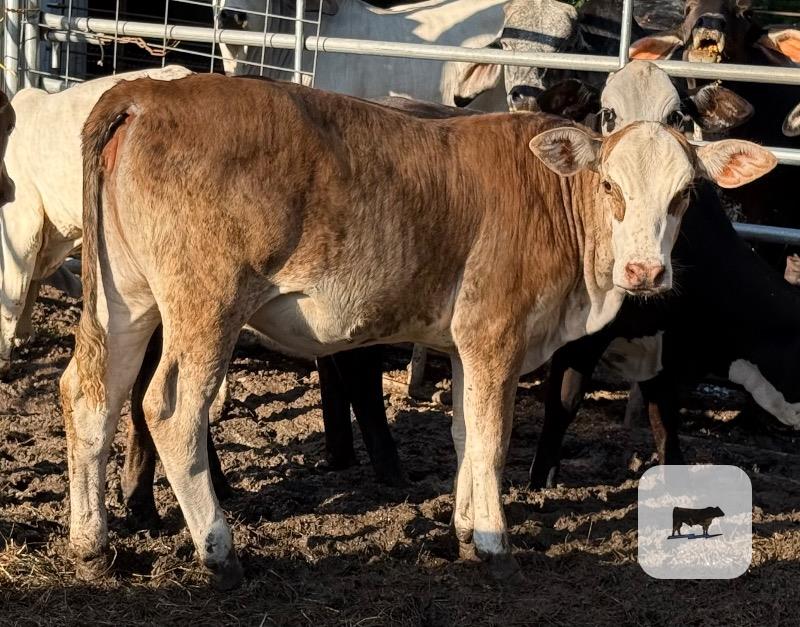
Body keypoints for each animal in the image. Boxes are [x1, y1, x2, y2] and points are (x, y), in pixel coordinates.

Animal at [63, 73, 772, 588]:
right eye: (609, 185)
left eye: (684, 195)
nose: (644, 270)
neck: (552, 199)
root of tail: (147, 93)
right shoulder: (494, 334)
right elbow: (492, 439)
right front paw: (494, 543)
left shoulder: (463, 345)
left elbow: (464, 435)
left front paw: (461, 532)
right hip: (205, 307)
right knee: (170, 410)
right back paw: (219, 552)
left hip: (126, 303)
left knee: (89, 398)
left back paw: (92, 545)